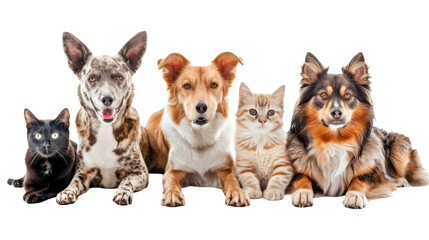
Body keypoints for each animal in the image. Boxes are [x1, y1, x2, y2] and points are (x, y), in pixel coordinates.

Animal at [55, 31, 150, 204]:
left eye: (119, 77)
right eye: (92, 78)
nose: (107, 99)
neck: (106, 130)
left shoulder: (140, 172)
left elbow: (127, 180)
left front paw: (123, 192)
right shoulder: (84, 171)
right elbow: (74, 182)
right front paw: (67, 191)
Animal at [145, 52, 249, 206]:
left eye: (213, 85)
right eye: (187, 86)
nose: (201, 107)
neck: (200, 138)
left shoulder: (225, 169)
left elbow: (233, 180)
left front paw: (237, 192)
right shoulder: (173, 170)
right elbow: (171, 182)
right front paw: (173, 194)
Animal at [286, 52, 426, 208]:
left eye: (348, 95)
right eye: (323, 95)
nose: (336, 112)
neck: (335, 139)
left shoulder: (375, 171)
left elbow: (360, 179)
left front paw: (354, 195)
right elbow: (302, 177)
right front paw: (303, 193)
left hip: (399, 147)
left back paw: (400, 180)